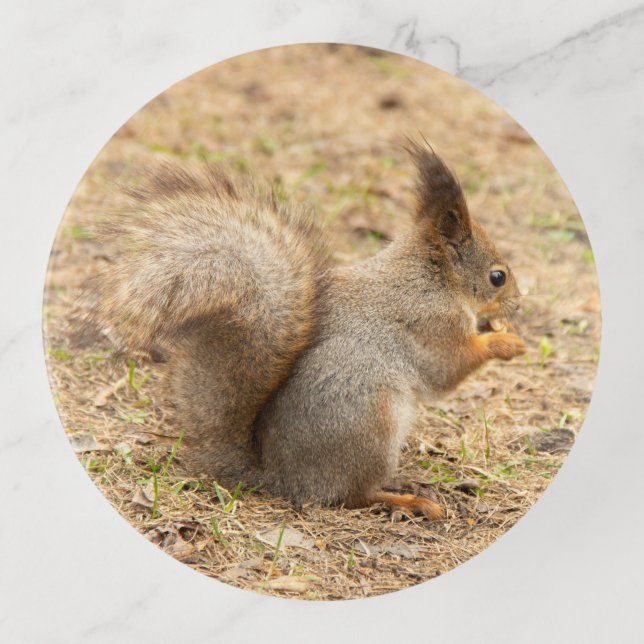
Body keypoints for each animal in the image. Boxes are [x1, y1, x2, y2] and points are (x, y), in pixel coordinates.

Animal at [93, 140, 526, 521]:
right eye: (498, 276)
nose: (518, 305)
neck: (432, 278)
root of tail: (283, 479)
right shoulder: (432, 324)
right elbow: (448, 370)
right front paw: (505, 342)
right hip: (370, 423)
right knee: (352, 496)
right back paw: (408, 501)